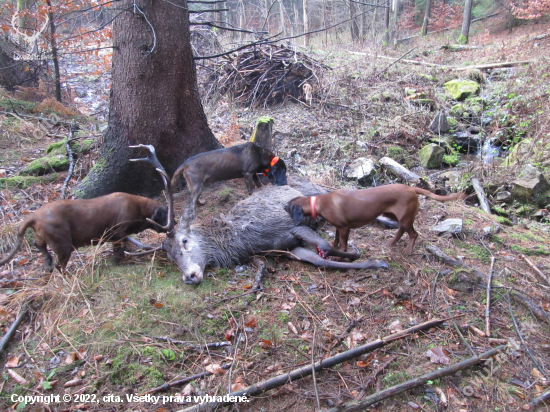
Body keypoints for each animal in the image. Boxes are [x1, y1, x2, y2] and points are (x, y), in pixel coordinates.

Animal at [0, 192, 168, 272]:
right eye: (164, 216)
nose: (171, 226)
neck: (140, 209)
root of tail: (34, 216)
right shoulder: (118, 233)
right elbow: (120, 250)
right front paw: (115, 262)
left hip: (44, 242)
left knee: (45, 255)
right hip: (64, 246)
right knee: (59, 267)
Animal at [286, 183, 468, 254]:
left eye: (288, 205)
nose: (282, 207)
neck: (319, 202)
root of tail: (411, 188)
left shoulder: (345, 227)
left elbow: (344, 244)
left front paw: (341, 254)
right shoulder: (339, 226)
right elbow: (337, 239)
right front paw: (334, 245)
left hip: (406, 219)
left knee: (414, 234)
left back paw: (408, 250)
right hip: (398, 217)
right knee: (401, 231)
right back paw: (392, 243)